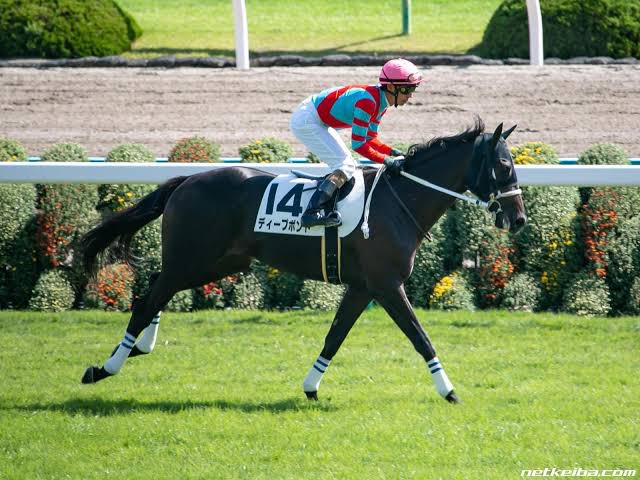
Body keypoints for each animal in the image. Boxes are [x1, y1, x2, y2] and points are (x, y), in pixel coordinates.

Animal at [79, 118, 526, 404]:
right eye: (504, 165)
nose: (519, 218)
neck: (398, 202)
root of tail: (186, 180)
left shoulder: (363, 286)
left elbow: (335, 336)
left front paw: (311, 386)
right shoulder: (387, 285)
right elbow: (420, 337)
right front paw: (449, 391)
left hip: (218, 262)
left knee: (157, 288)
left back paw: (139, 347)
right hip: (195, 258)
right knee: (149, 298)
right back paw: (105, 367)